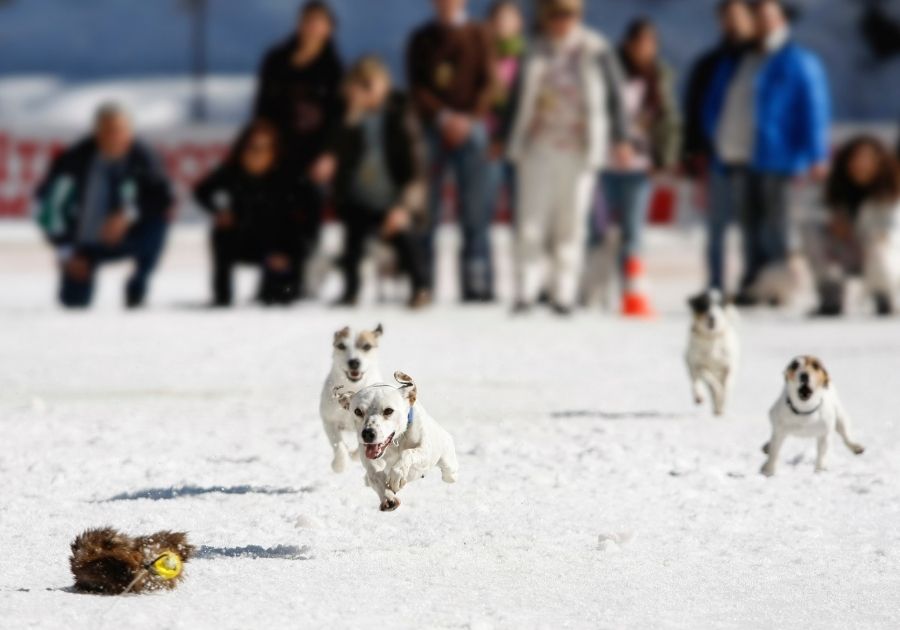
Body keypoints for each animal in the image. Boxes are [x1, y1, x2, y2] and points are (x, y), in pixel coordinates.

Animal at [320, 326, 384, 474]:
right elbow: (338, 444)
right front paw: (339, 465)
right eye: (341, 346)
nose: (354, 362)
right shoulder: (329, 420)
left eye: (367, 346)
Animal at [340, 370, 464, 512]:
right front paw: (388, 498)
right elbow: (375, 476)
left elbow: (408, 453)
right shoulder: (371, 462)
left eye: (388, 410)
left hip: (448, 464)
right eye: (358, 411)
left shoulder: (425, 451)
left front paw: (397, 475)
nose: (367, 433)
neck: (396, 442)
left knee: (449, 474)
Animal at [688, 292, 740, 420]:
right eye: (704, 305)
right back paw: (699, 397)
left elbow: (727, 385)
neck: (712, 338)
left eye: (720, 304)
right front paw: (717, 391)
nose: (712, 317)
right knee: (696, 382)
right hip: (692, 366)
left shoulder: (729, 366)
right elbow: (712, 383)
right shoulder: (699, 365)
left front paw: (723, 397)